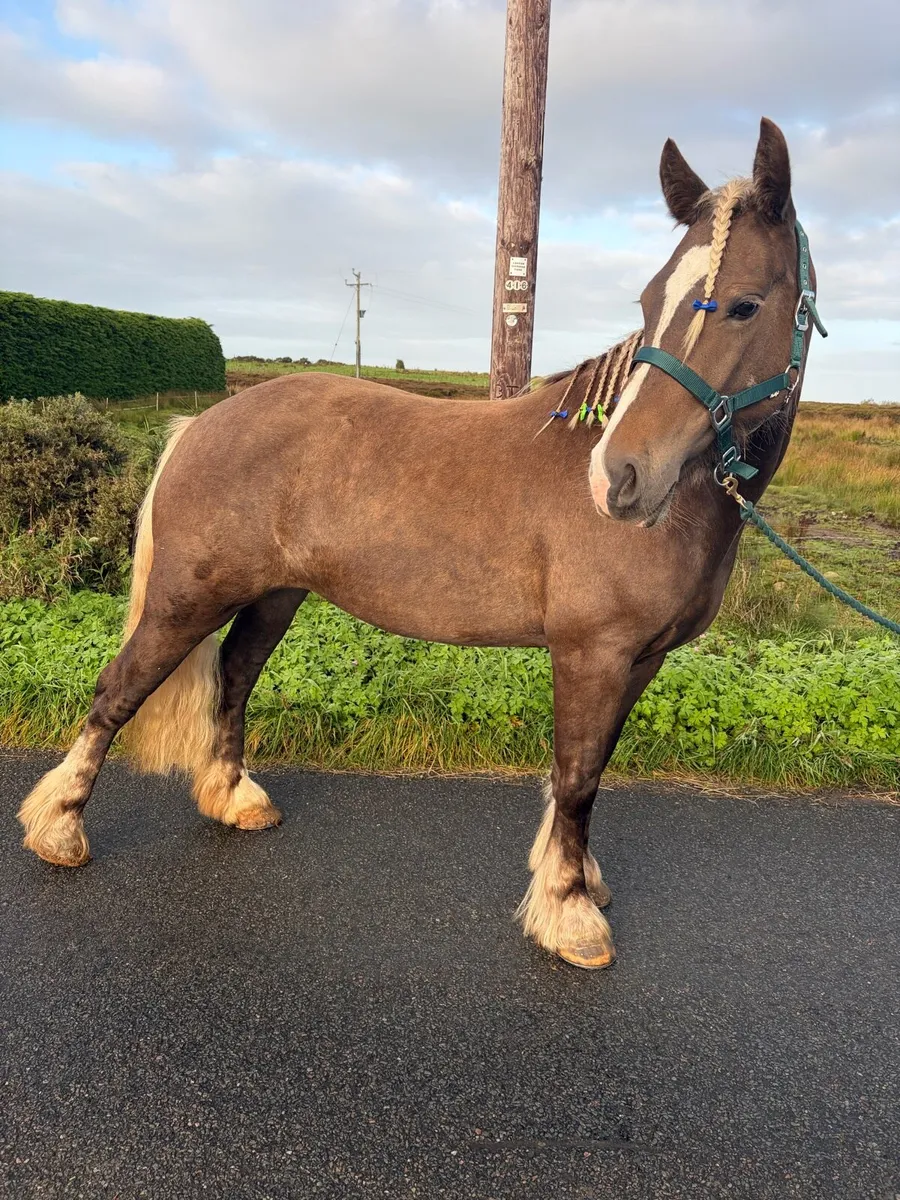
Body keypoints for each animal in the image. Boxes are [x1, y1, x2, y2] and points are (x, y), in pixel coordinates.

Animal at [18, 117, 819, 970]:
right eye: (649, 300)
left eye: (745, 304)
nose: (620, 477)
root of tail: (201, 424)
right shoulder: (592, 653)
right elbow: (576, 775)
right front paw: (570, 912)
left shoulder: (642, 659)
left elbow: (591, 766)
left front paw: (575, 880)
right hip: (187, 597)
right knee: (119, 689)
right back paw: (60, 829)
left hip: (275, 595)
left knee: (234, 676)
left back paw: (234, 797)